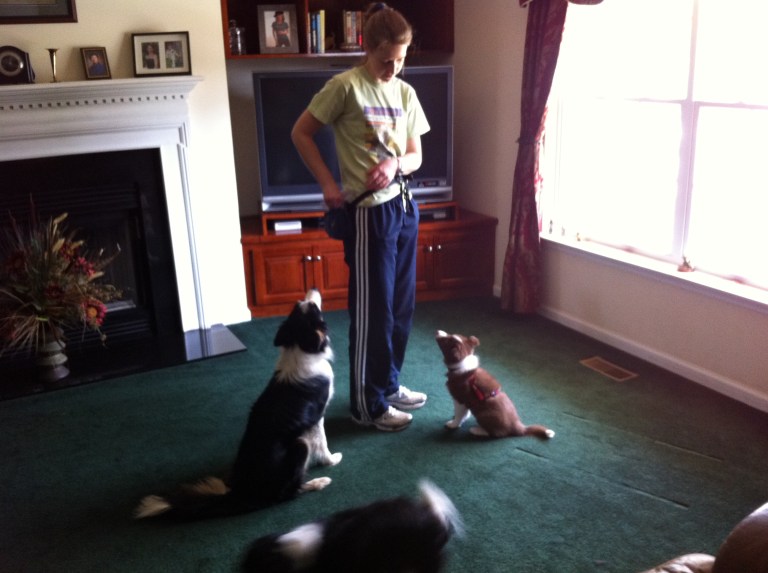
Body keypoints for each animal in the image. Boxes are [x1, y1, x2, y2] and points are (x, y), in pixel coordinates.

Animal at [134, 289, 342, 520]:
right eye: (313, 307)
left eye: (300, 305)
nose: (314, 288)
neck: (300, 348)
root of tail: (242, 493)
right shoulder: (316, 418)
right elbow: (322, 443)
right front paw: (332, 460)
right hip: (299, 445)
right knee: (286, 494)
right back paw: (317, 483)